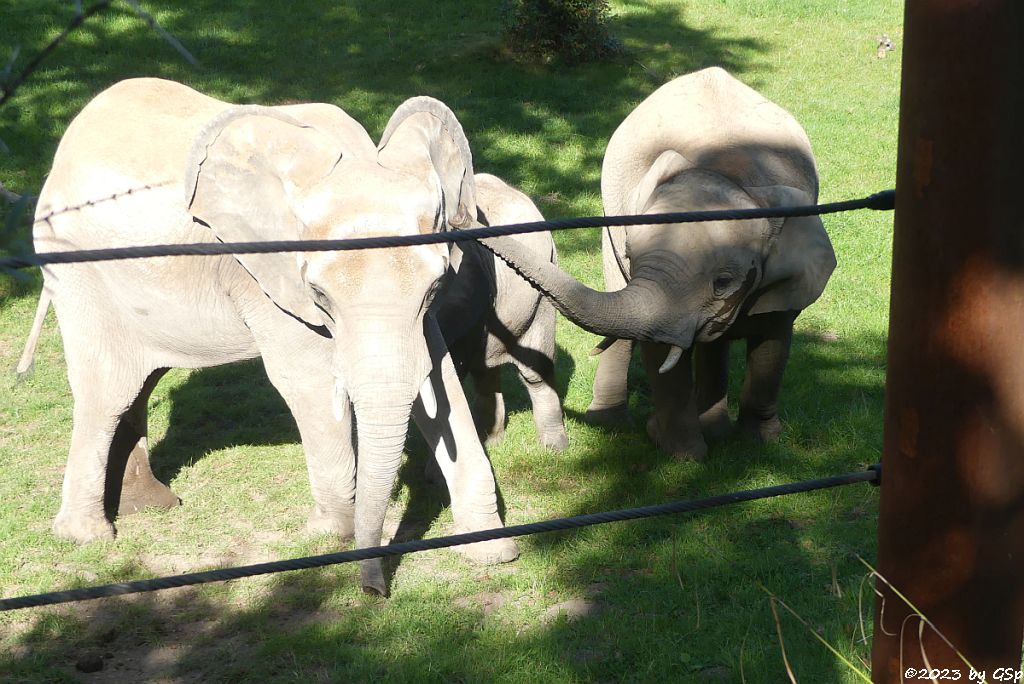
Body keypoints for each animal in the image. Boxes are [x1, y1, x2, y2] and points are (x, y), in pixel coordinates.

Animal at [27, 78, 516, 593]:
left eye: (438, 284)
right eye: (319, 294)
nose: (373, 590)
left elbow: (433, 371)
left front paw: (492, 551)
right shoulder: (264, 271)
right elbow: (310, 379)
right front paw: (332, 534)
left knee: (142, 380)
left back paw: (150, 505)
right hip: (77, 271)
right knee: (109, 391)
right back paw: (88, 536)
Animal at [475, 68, 835, 458]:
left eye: (724, 282)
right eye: (631, 256)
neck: (728, 172)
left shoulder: (787, 273)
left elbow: (773, 342)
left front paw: (761, 444)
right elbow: (659, 350)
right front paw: (684, 454)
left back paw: (713, 428)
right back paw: (613, 422)